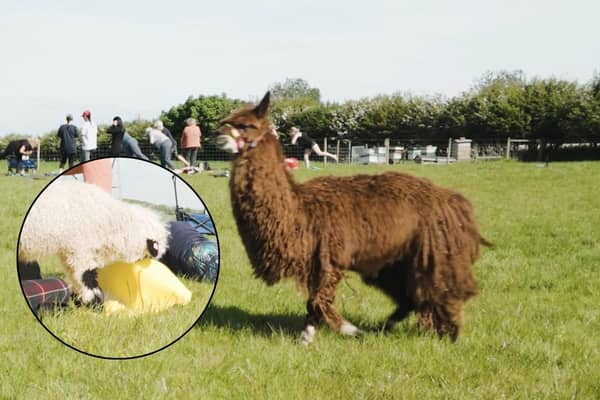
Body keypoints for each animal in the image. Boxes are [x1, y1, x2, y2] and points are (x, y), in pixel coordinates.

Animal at [19, 178, 169, 304]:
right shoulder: (80, 248)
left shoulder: (69, 250)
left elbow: (75, 277)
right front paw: (95, 304)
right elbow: (86, 276)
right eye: (150, 253)